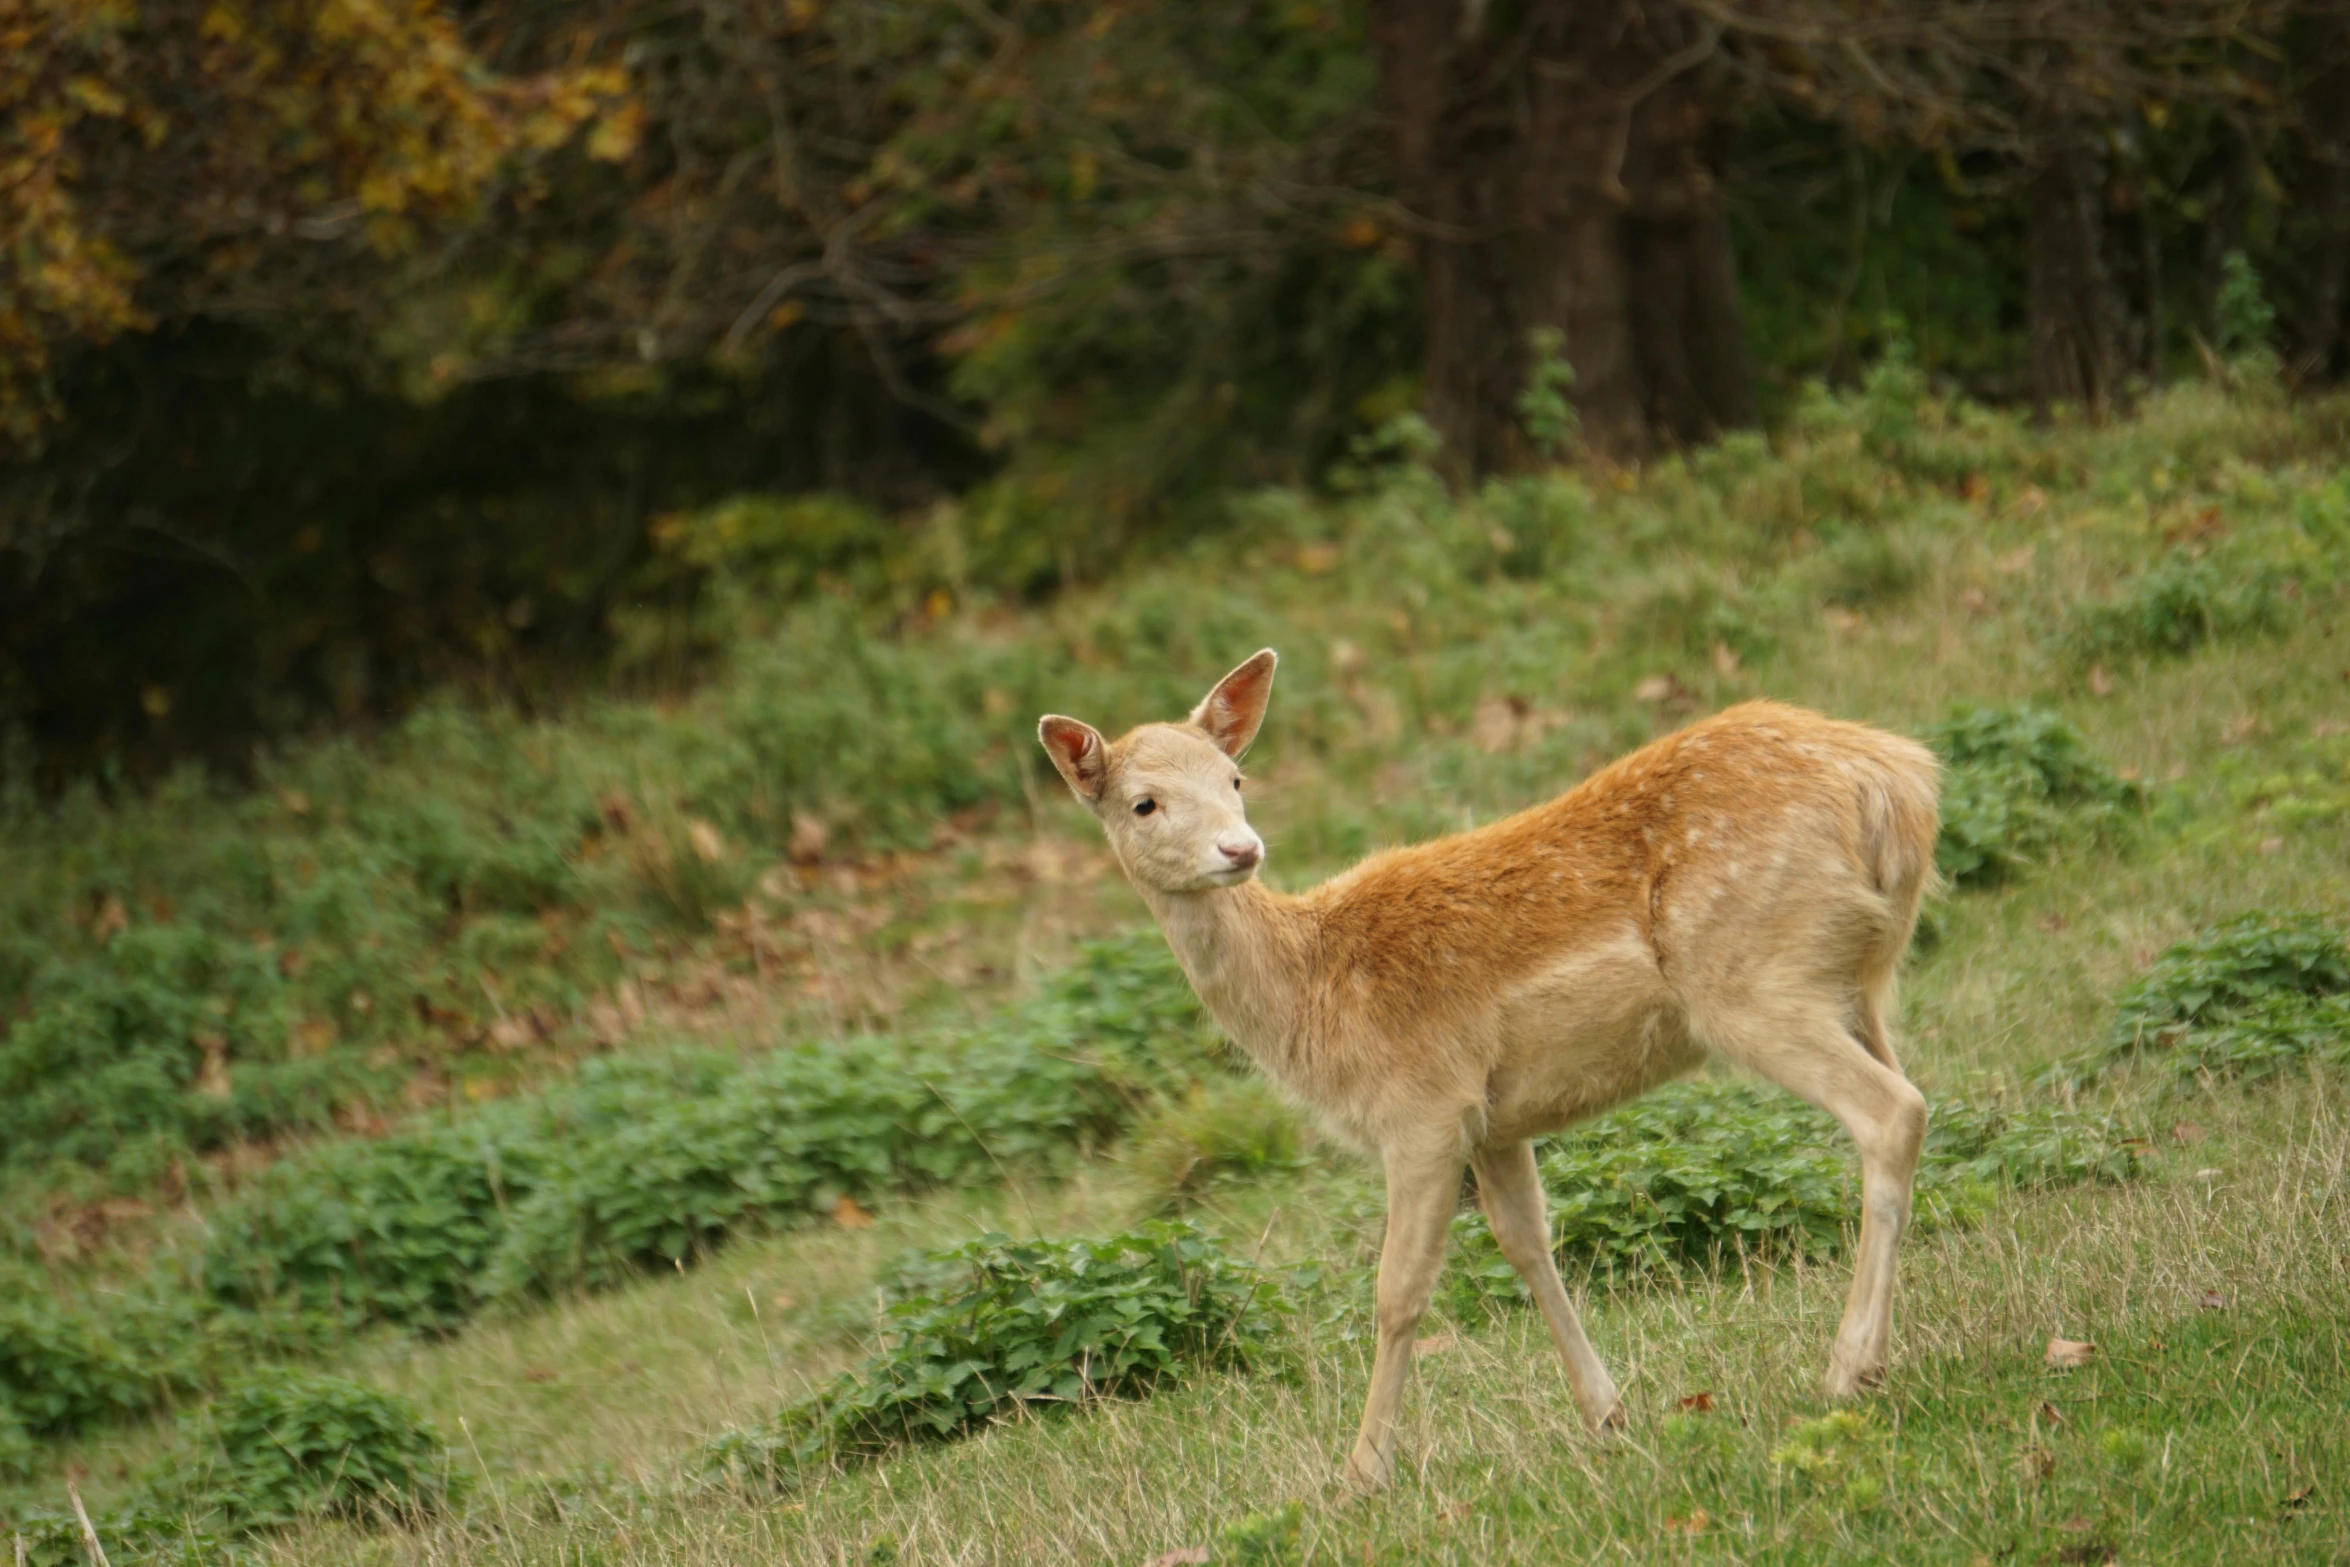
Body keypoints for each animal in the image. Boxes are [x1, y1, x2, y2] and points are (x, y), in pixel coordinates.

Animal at [1038, 653, 1936, 1494]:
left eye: (1235, 777)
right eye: (1144, 802)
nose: (1240, 848)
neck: (1313, 1003)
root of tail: (1897, 786)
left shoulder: (1421, 1107)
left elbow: (1397, 1291)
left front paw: (1361, 1473)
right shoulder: (1495, 1119)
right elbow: (1528, 1242)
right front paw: (1607, 1414)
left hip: (1749, 978)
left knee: (1892, 1110)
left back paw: (1846, 1367)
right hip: (1855, 981)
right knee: (1911, 1101)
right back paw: (1886, 1355)